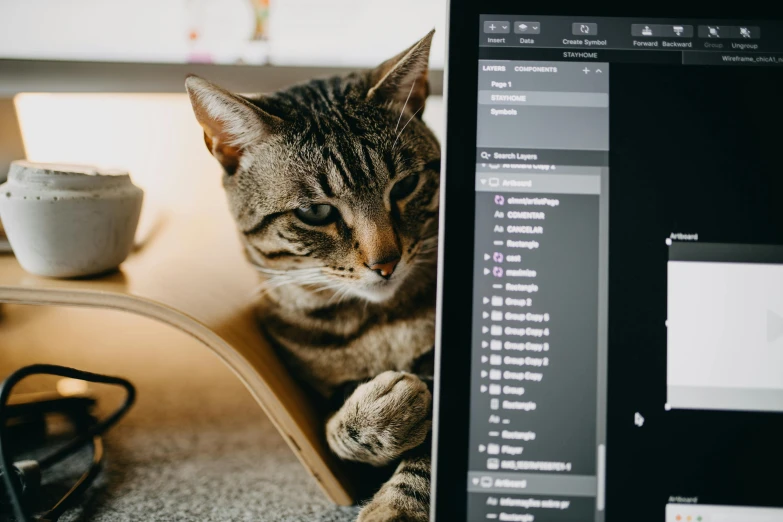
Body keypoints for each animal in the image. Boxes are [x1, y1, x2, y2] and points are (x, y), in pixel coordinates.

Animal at [185, 30, 440, 516]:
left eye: (404, 186)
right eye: (315, 212)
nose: (386, 262)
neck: (377, 326)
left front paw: (395, 508)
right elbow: (331, 433)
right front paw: (379, 416)